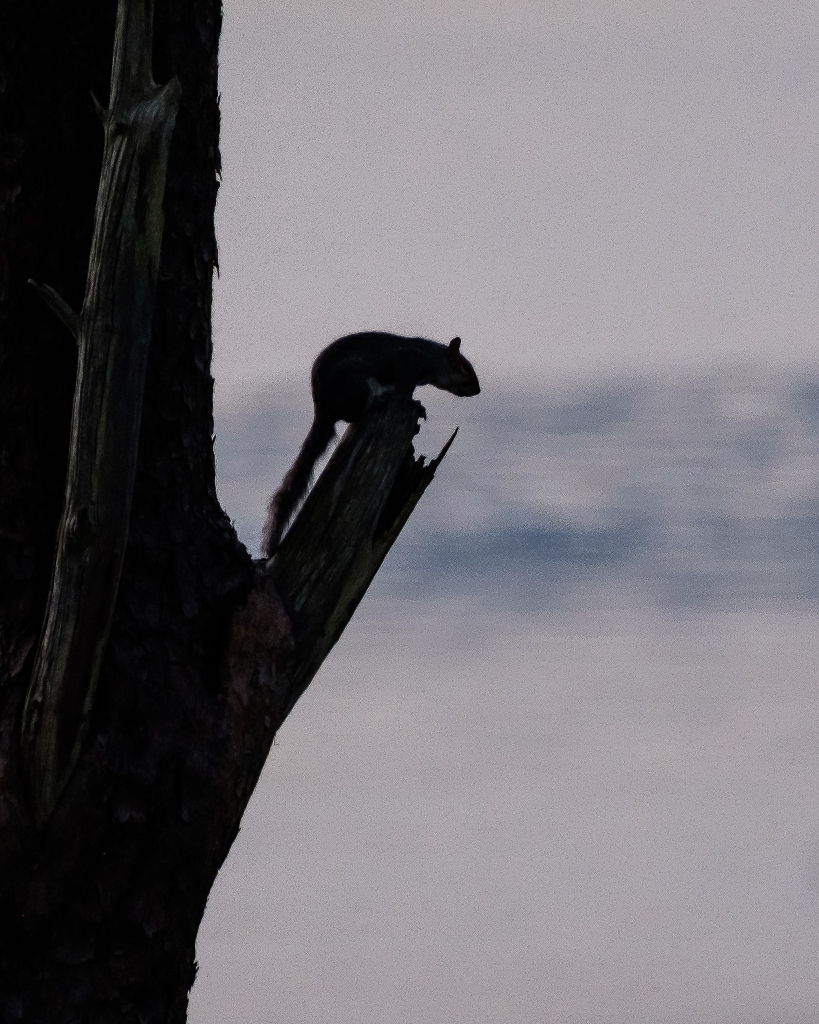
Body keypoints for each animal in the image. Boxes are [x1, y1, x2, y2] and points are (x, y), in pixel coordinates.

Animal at [261, 331, 480, 557]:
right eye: (465, 366)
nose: (478, 390)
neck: (433, 359)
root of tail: (324, 411)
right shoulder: (408, 363)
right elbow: (404, 390)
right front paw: (414, 404)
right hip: (356, 384)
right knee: (356, 412)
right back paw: (379, 399)